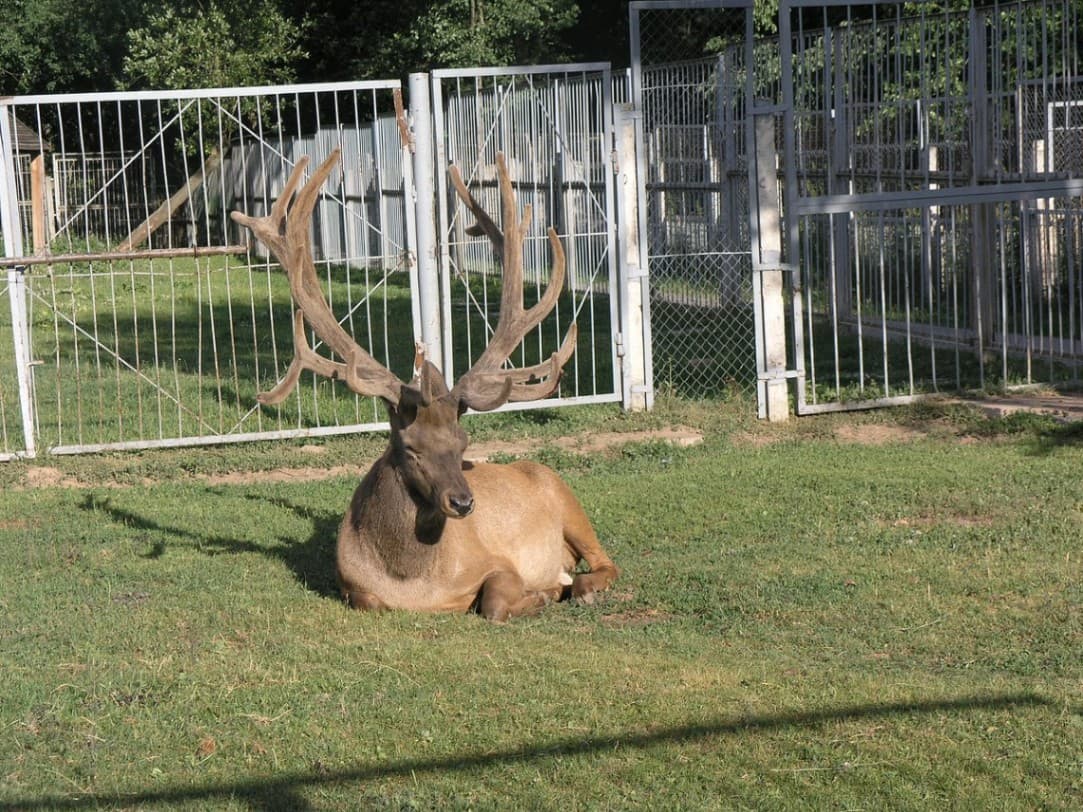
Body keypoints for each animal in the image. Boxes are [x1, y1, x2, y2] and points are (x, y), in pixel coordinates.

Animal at [228, 149, 619, 619]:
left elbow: (494, 601)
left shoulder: (499, 563)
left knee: (606, 562)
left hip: (566, 499)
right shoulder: (351, 585)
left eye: (464, 443)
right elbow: (368, 600)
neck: (415, 583)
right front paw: (545, 591)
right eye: (410, 448)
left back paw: (580, 586)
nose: (464, 503)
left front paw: (542, 592)